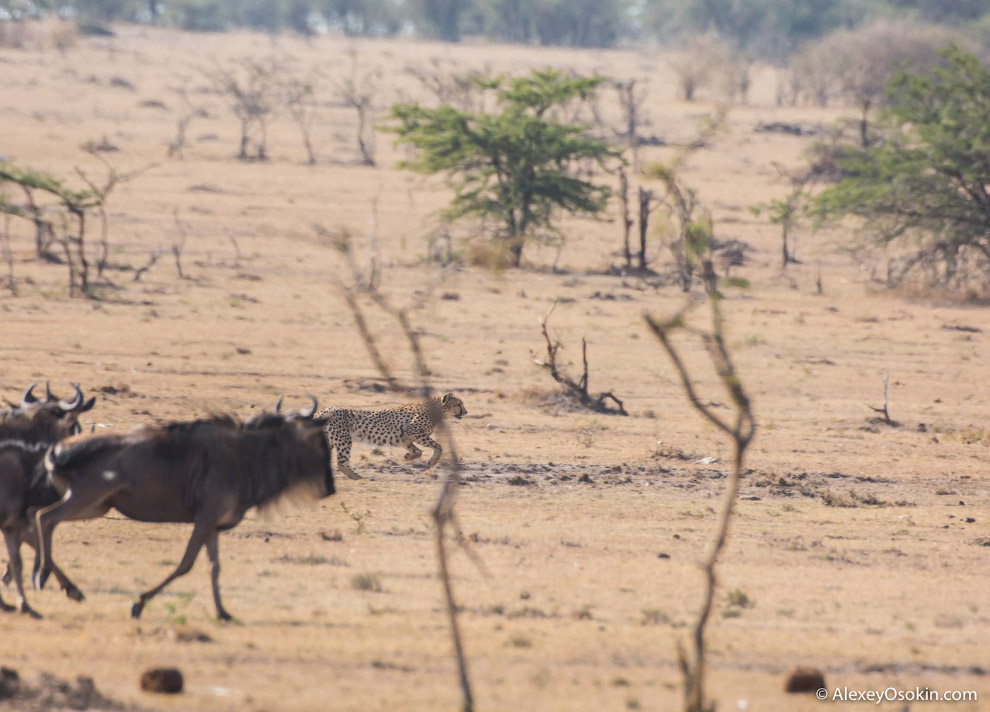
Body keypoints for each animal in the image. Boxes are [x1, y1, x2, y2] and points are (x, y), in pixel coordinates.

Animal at [318, 392, 472, 482]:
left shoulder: (404, 438)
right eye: (458, 404)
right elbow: (438, 446)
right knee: (342, 463)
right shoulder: (413, 431)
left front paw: (408, 457)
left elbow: (418, 451)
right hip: (344, 439)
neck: (437, 410)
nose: (466, 412)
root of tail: (322, 411)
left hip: (329, 441)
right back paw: (359, 478)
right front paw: (432, 461)